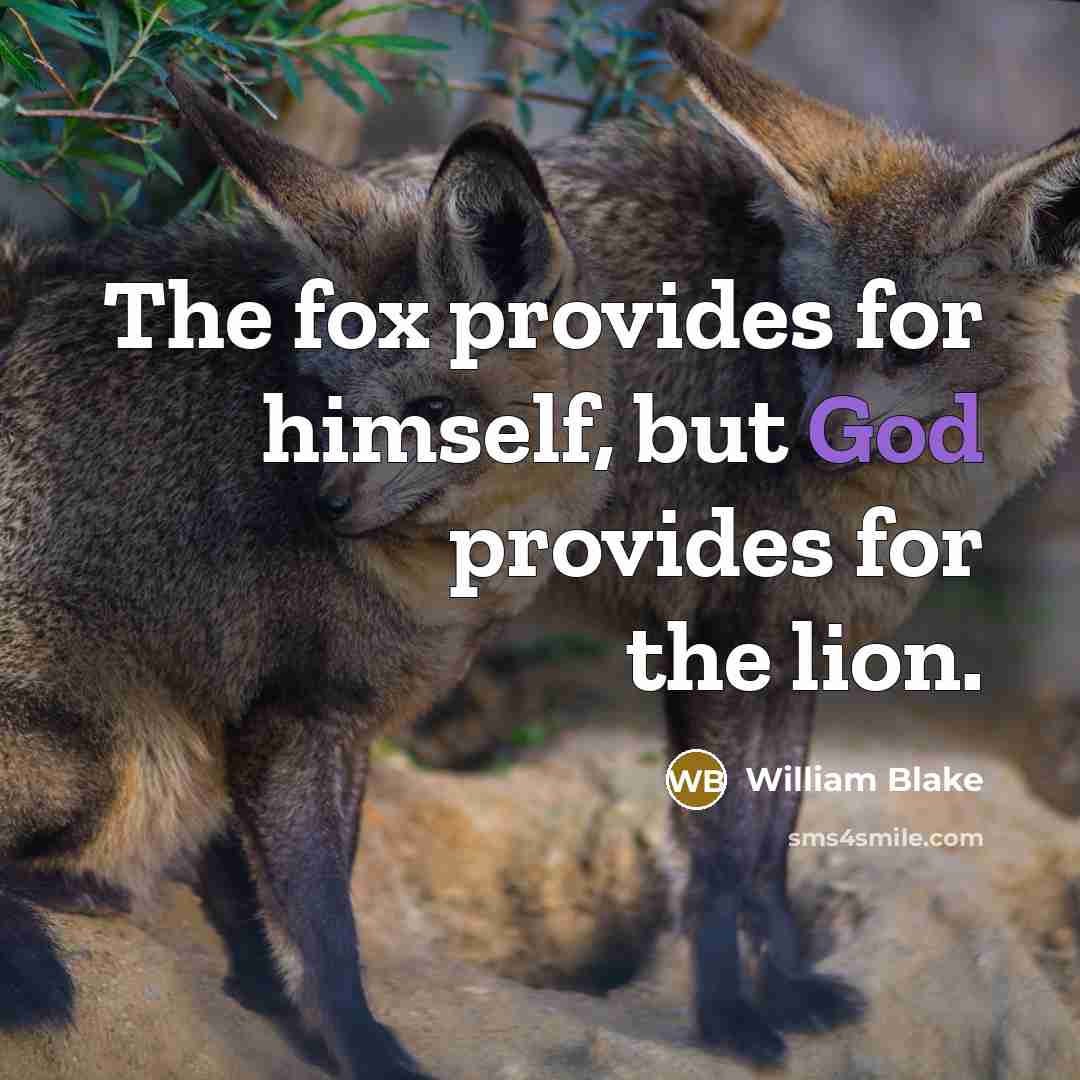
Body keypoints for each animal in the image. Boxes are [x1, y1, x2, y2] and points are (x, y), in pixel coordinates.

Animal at [0, 75, 611, 1079]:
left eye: (429, 411)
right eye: (329, 400)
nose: (324, 504)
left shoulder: (347, 723)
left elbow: (306, 891)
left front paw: (265, 985)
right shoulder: (285, 715)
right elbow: (327, 928)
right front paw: (360, 1043)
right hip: (119, 757)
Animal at [372, 11, 1080, 1066]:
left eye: (912, 342)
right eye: (816, 333)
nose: (819, 432)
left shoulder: (801, 641)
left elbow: (768, 844)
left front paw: (784, 987)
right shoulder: (710, 636)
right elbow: (715, 852)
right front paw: (728, 1018)